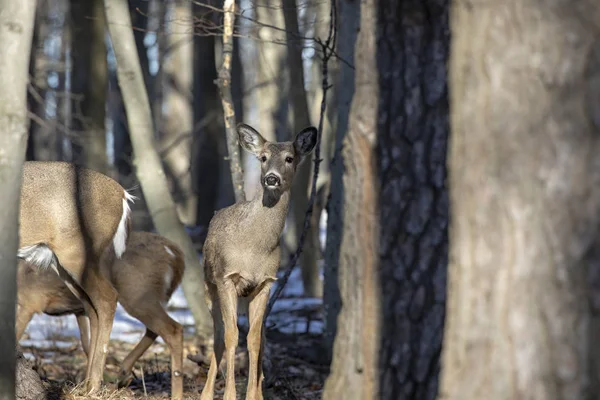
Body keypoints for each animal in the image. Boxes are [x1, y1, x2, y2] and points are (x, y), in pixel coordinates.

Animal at [17, 160, 134, 394]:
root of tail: (122, 194)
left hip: (77, 252)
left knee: (107, 298)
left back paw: (94, 386)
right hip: (61, 263)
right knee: (91, 307)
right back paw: (85, 384)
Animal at [17, 230, 185, 400]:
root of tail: (174, 253)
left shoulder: (30, 303)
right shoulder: (79, 311)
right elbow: (87, 343)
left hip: (137, 293)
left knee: (172, 328)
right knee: (155, 329)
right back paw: (123, 374)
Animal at [200, 122, 318, 400]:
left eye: (289, 158)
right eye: (263, 158)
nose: (271, 178)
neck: (254, 247)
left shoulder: (265, 283)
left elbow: (254, 339)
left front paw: (254, 395)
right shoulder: (227, 278)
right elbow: (231, 336)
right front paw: (230, 395)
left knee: (258, 337)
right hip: (209, 286)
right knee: (218, 335)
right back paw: (206, 393)